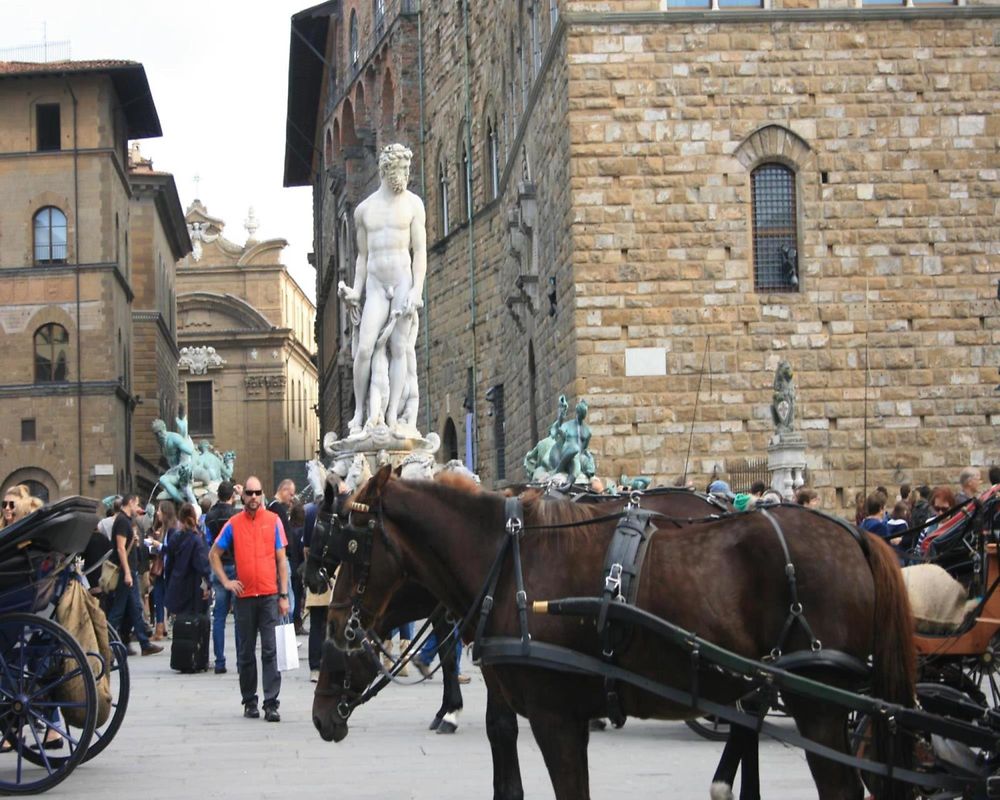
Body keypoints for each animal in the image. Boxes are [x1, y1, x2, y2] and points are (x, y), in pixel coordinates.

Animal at [326, 468, 916, 800]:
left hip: (819, 703)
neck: (511, 562)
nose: (334, 634)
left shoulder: (555, 717)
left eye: (350, 548)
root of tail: (857, 536)